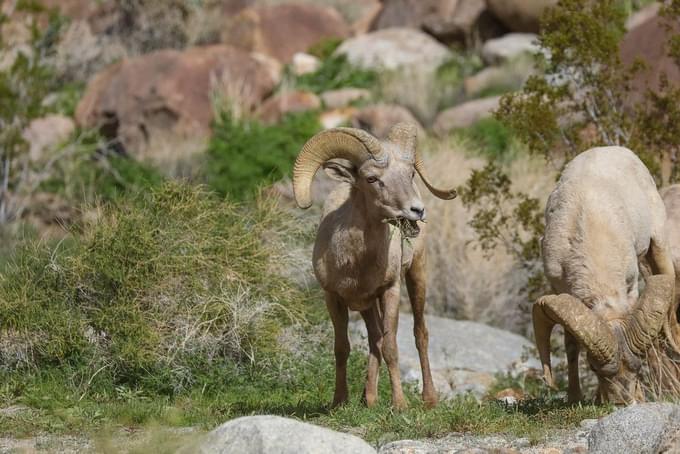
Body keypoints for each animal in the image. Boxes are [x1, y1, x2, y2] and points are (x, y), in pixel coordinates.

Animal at [292, 122, 456, 410]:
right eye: (371, 179)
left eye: (410, 173)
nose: (417, 210)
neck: (355, 262)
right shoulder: (333, 297)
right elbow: (342, 348)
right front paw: (339, 402)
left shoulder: (390, 290)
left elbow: (391, 346)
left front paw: (399, 405)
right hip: (367, 305)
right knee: (374, 339)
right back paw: (368, 398)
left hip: (417, 276)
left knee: (419, 333)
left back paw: (428, 399)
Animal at [536, 146, 676, 404]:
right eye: (593, 368)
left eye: (636, 368)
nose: (621, 402)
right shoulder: (558, 287)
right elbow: (571, 346)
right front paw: (575, 397)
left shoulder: (630, 286)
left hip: (658, 246)